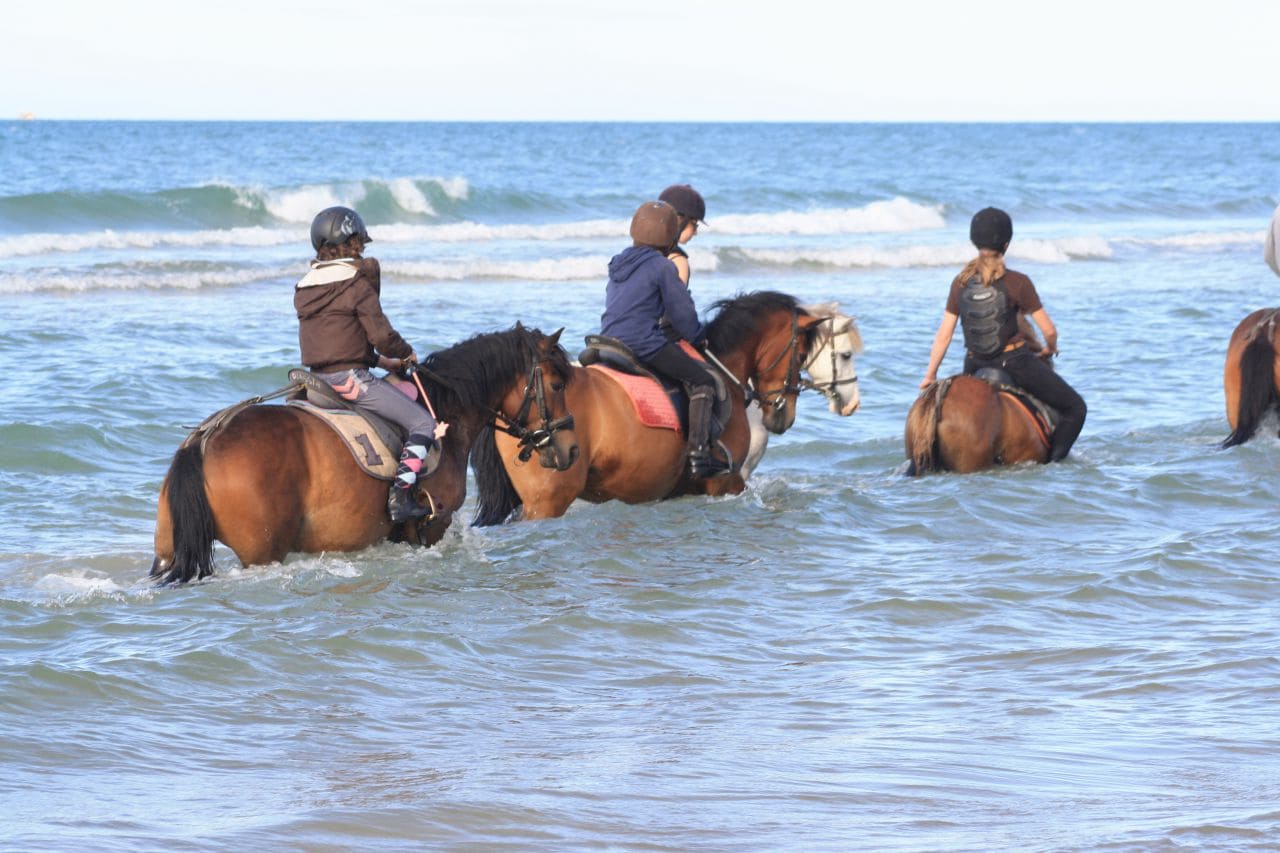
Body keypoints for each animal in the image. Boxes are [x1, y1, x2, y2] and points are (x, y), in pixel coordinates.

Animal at [149, 322, 576, 581]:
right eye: (557, 385)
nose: (571, 449)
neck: (444, 408)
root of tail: (204, 440)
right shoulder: (433, 528)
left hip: (170, 549)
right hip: (262, 549)